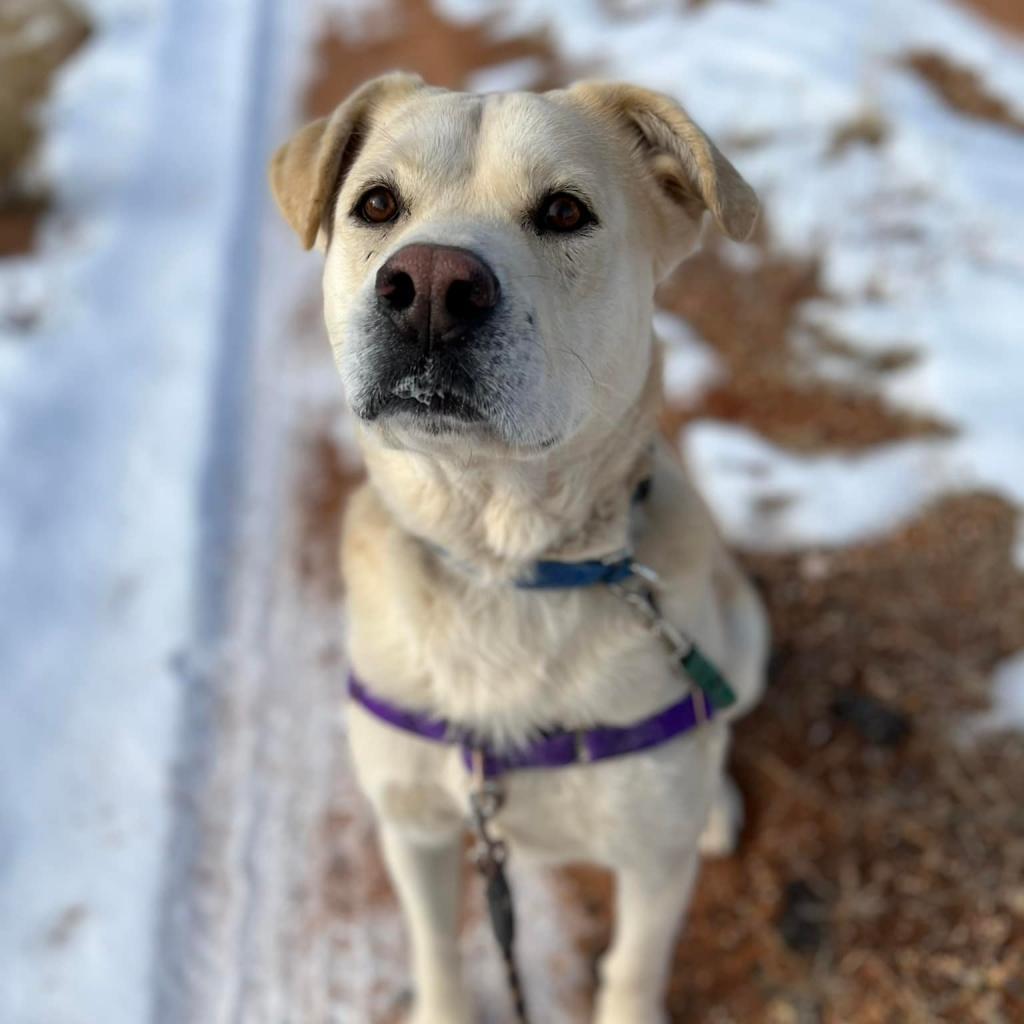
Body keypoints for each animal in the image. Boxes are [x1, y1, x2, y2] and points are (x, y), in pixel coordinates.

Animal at [272, 74, 770, 1024]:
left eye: (566, 211)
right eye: (376, 204)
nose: (430, 285)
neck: (502, 568)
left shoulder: (650, 865)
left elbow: (632, 973)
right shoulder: (414, 825)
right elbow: (436, 947)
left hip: (745, 636)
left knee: (721, 723)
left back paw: (716, 805)